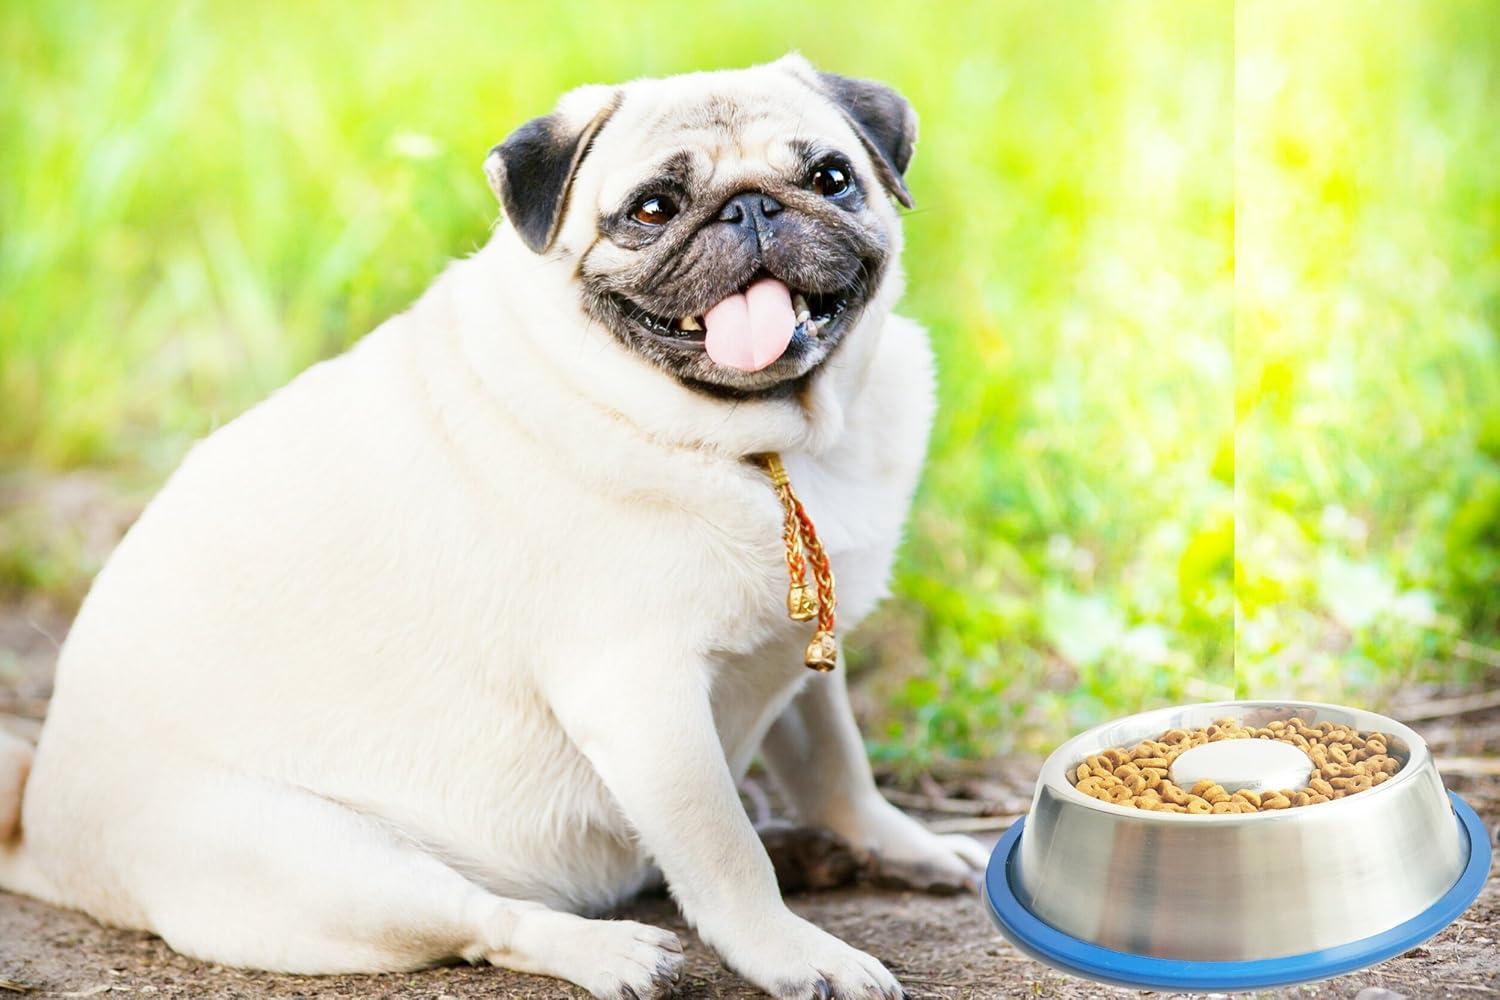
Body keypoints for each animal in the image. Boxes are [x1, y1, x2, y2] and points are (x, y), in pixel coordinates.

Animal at [0, 56, 984, 1000]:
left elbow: (835, 764)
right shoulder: (640, 696)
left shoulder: (798, 641)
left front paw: (900, 843)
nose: (751, 207)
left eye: (831, 177)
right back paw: (613, 952)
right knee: (490, 919)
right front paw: (791, 952)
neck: (764, 448)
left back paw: (808, 849)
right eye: (653, 210)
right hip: (327, 863)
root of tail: (43, 836)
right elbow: (718, 848)